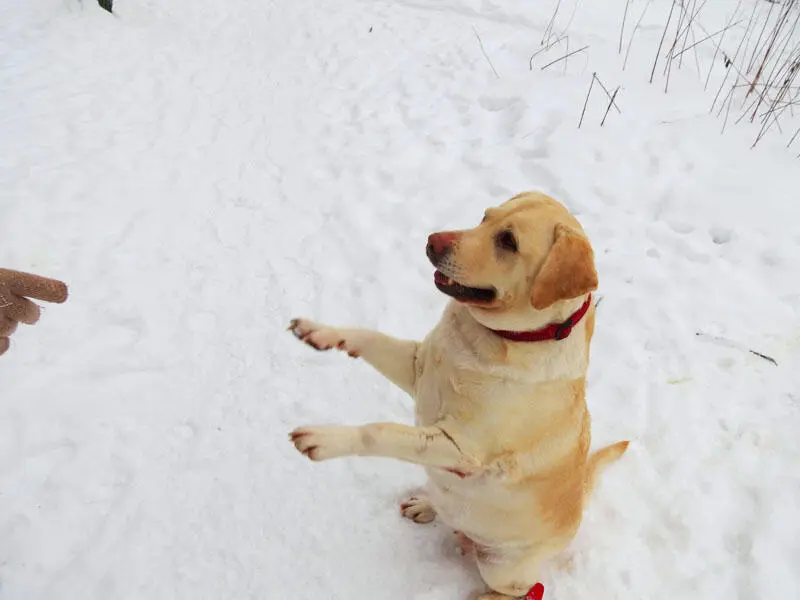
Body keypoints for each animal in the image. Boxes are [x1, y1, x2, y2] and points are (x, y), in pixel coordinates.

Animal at [290, 192, 628, 600]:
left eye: (508, 241)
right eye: (484, 216)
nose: (432, 240)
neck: (488, 338)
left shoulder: (462, 450)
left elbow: (380, 432)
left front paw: (324, 439)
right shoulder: (417, 368)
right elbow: (368, 337)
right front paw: (320, 332)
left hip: (500, 566)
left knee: (524, 590)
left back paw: (484, 594)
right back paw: (426, 504)